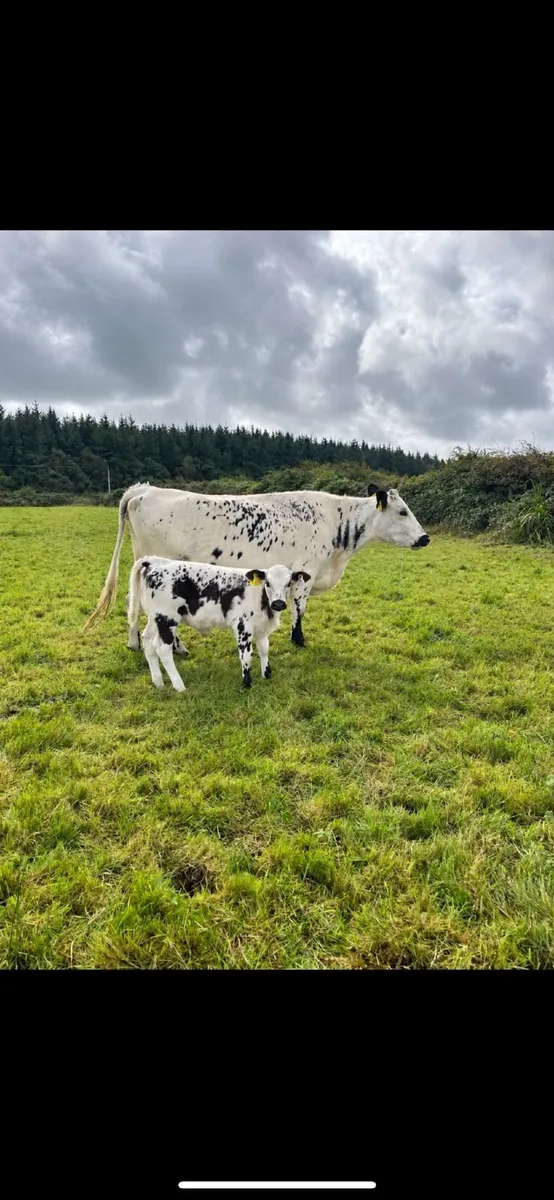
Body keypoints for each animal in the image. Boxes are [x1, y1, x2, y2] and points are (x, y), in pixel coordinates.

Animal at [84, 481, 429, 650]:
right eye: (402, 511)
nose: (425, 538)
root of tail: (144, 490)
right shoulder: (305, 574)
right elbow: (299, 610)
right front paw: (299, 641)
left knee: (132, 602)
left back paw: (135, 643)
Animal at [126, 557, 311, 691]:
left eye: (289, 583)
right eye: (268, 583)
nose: (278, 603)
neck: (261, 599)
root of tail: (154, 561)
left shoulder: (262, 629)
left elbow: (264, 650)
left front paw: (267, 675)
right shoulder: (243, 626)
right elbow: (246, 656)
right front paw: (247, 684)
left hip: (155, 618)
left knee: (148, 642)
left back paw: (158, 682)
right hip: (167, 619)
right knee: (163, 649)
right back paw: (179, 686)